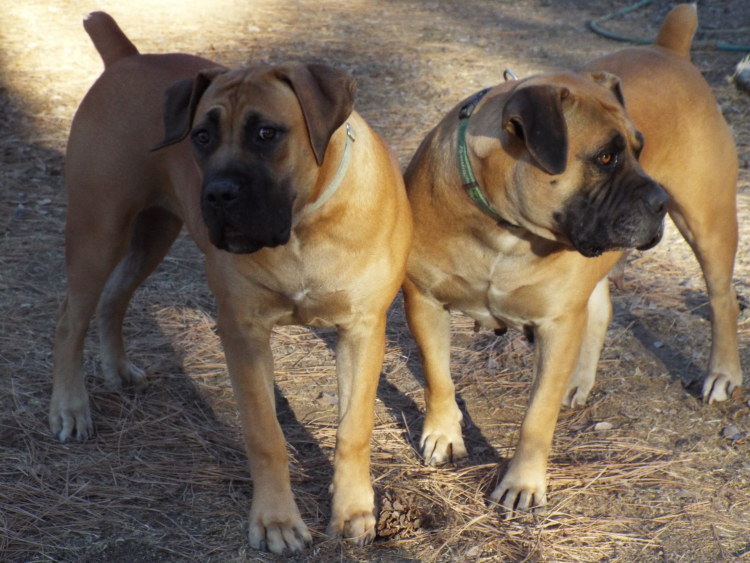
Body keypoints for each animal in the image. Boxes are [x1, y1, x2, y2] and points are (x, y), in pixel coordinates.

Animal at [50, 11, 414, 556]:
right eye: (201, 136)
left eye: (266, 133)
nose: (218, 193)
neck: (303, 225)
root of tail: (125, 58)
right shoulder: (243, 332)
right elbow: (266, 435)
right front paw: (276, 521)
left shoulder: (362, 332)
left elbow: (354, 429)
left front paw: (352, 511)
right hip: (99, 229)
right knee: (70, 319)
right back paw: (71, 408)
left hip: (153, 232)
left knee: (115, 297)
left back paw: (117, 370)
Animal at [402, 3, 744, 516]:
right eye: (605, 157)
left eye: (640, 149)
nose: (659, 199)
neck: (501, 230)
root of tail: (669, 49)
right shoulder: (424, 301)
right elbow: (437, 375)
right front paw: (442, 434)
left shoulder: (556, 323)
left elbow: (536, 417)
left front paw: (522, 483)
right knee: (600, 308)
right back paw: (577, 381)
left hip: (709, 223)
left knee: (722, 300)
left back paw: (722, 374)